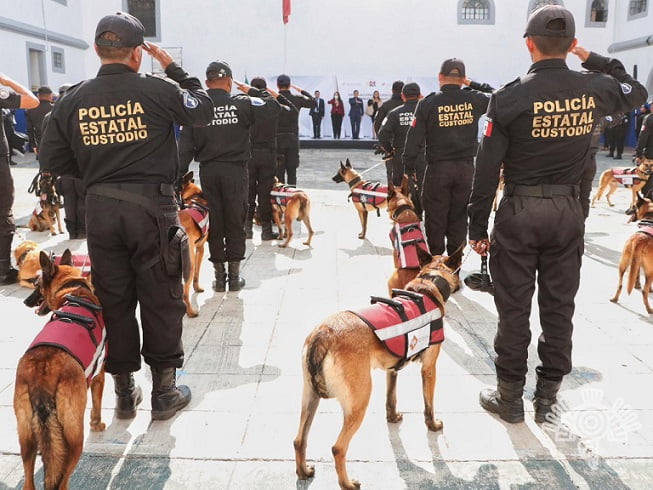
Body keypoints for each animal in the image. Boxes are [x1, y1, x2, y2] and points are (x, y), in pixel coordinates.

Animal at [14, 251, 104, 490]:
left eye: (37, 284)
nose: (26, 301)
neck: (72, 290)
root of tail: (41, 376)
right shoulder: (99, 376)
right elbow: (97, 402)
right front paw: (97, 423)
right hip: (73, 438)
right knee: (62, 481)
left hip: (26, 441)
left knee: (29, 481)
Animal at [292, 249, 460, 490]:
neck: (429, 282)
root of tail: (324, 333)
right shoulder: (429, 369)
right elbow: (429, 405)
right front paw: (433, 424)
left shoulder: (393, 370)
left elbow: (391, 398)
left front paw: (393, 417)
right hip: (359, 402)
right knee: (338, 448)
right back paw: (347, 484)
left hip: (310, 398)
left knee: (299, 440)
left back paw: (303, 471)